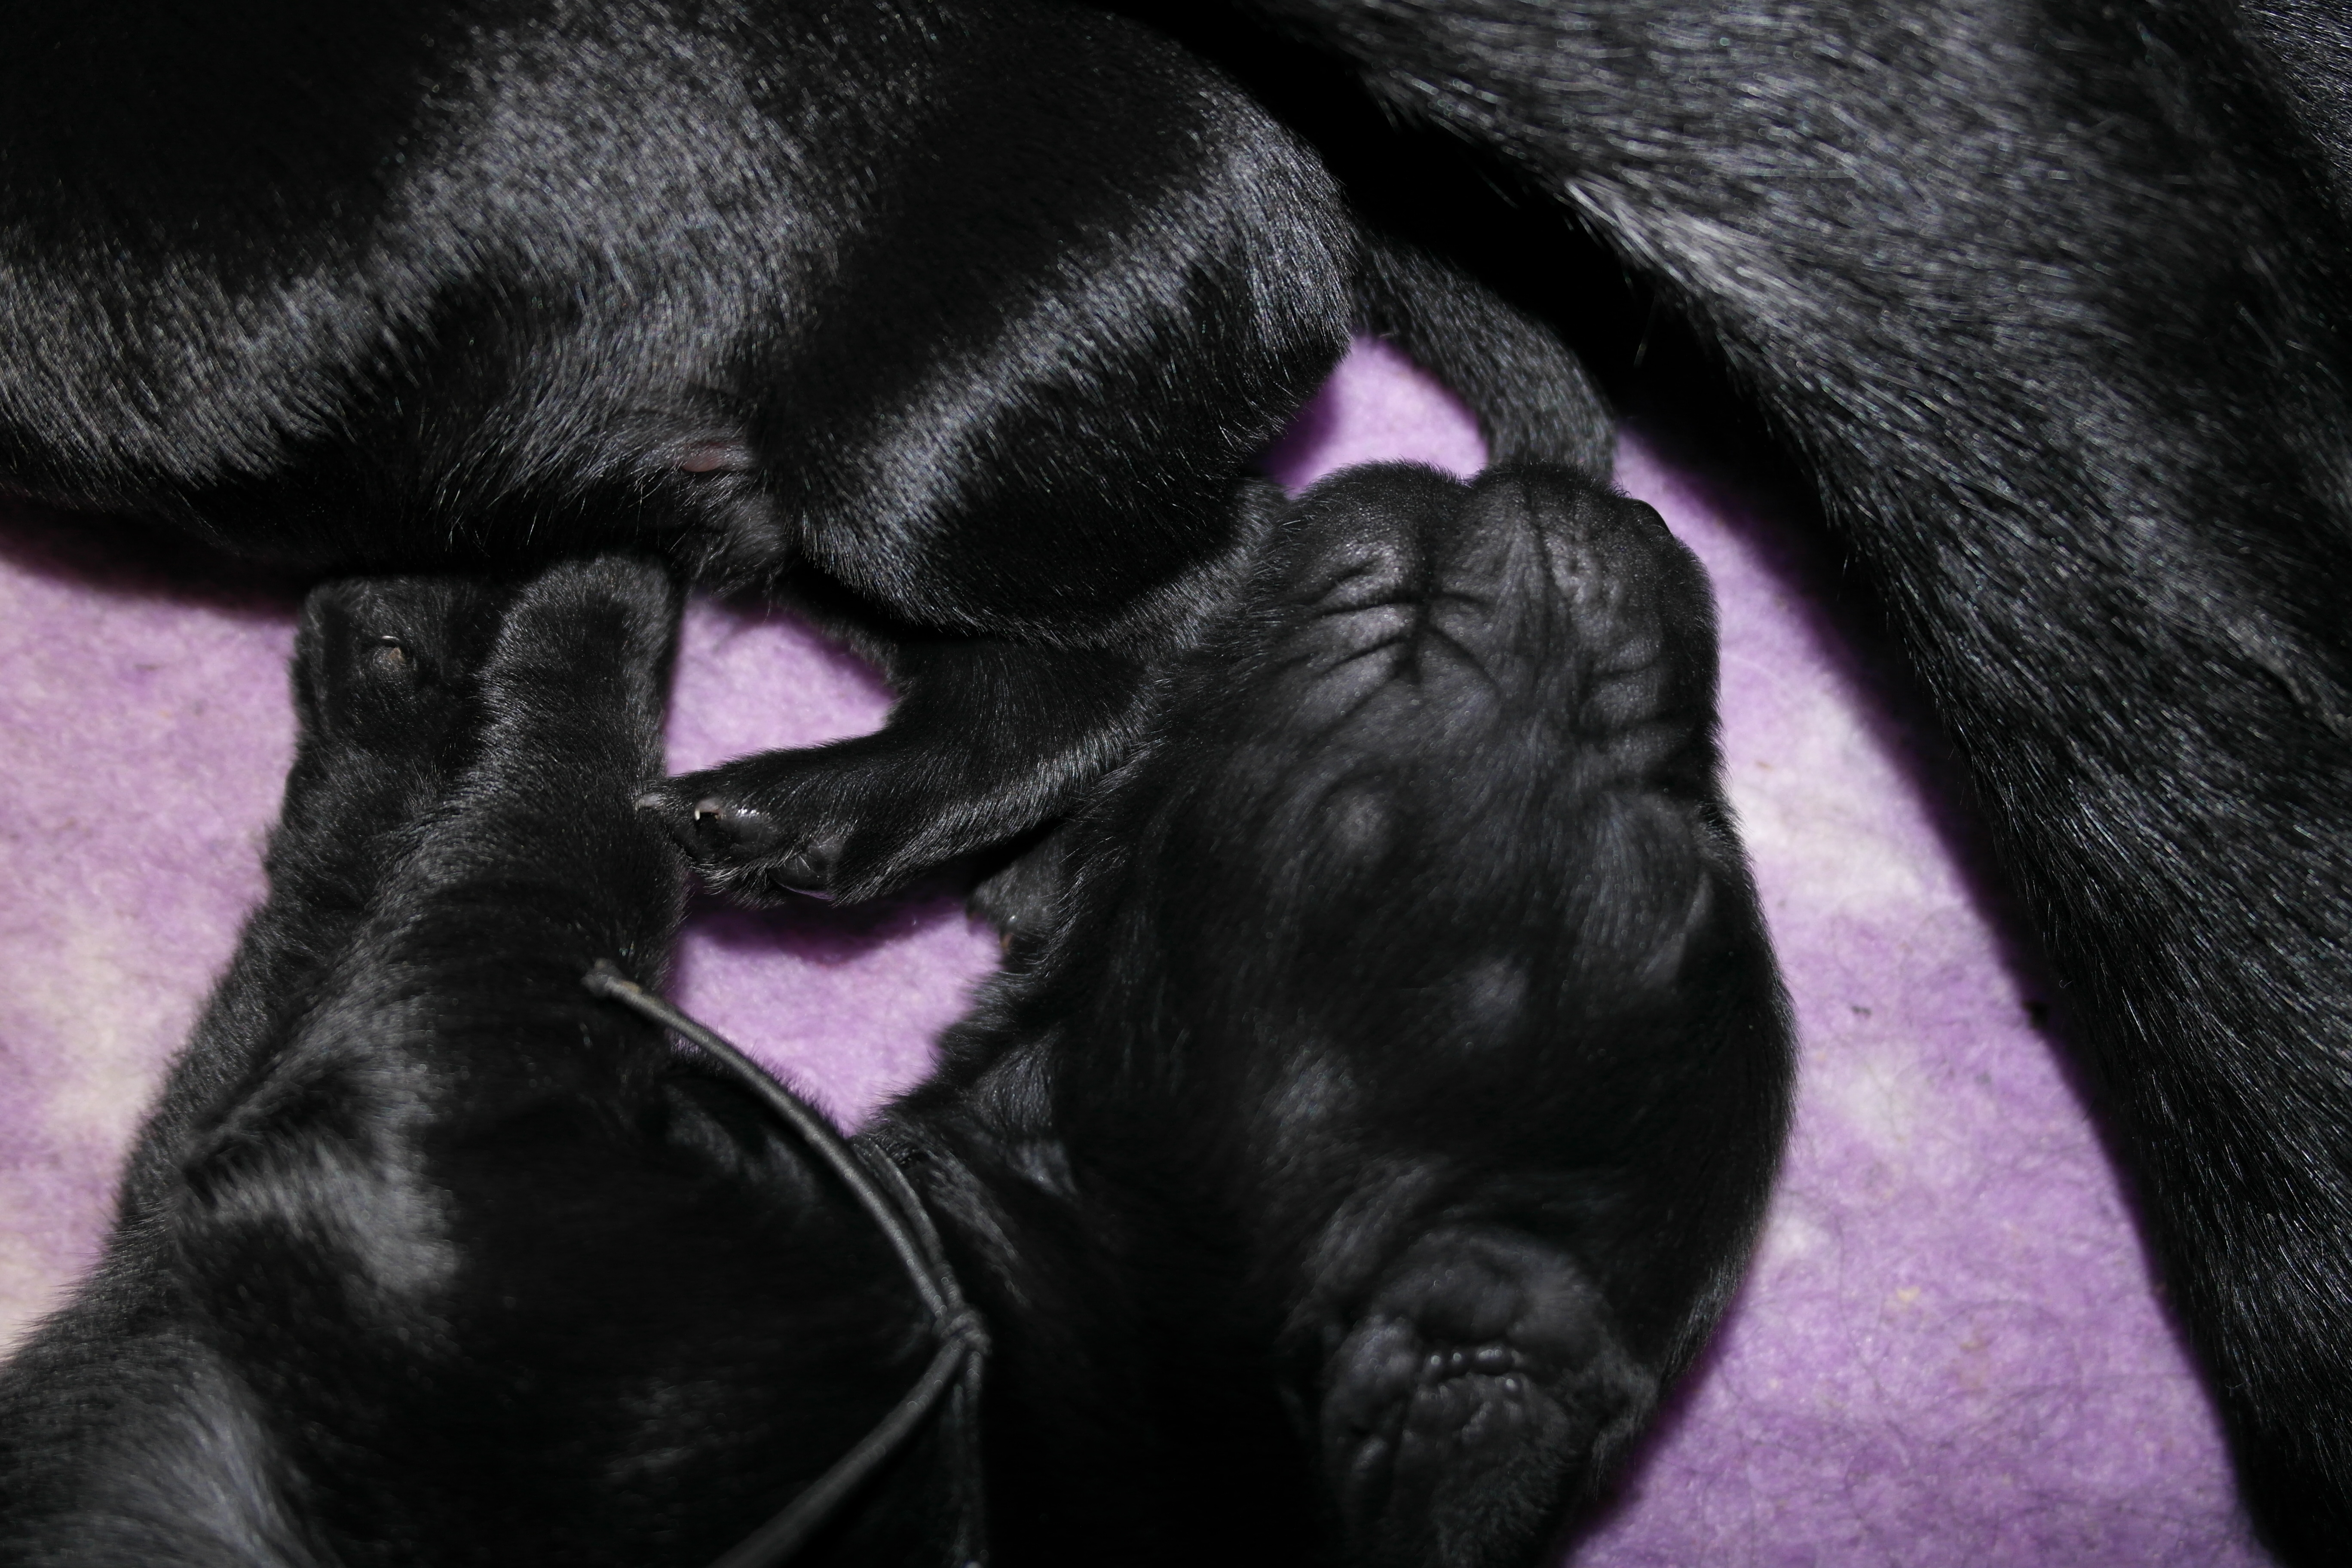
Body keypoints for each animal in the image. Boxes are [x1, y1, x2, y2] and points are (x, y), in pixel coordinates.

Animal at [0, 462, 1787, 1566]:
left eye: (1689, 857)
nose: (1651, 518)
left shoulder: (456, 1133)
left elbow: (557, 836)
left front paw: (588, 566)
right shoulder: (256, 1147)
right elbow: (321, 922)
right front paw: (390, 632)